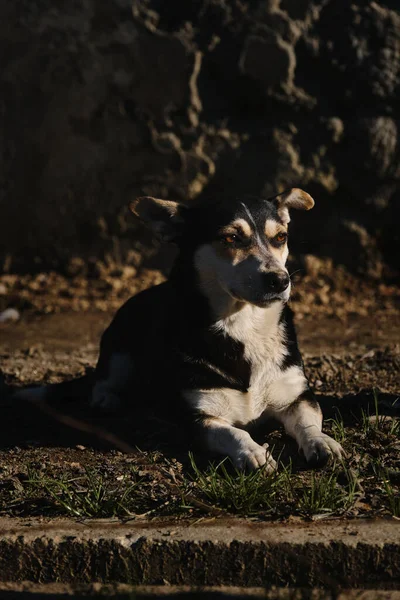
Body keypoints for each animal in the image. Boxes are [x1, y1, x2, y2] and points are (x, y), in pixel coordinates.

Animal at [19, 190, 344, 472]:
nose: (280, 280)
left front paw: (322, 442)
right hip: (119, 350)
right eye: (231, 238)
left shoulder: (296, 396)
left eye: (281, 238)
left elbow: (308, 421)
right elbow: (234, 433)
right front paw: (254, 452)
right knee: (103, 380)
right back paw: (107, 399)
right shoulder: (201, 417)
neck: (242, 325)